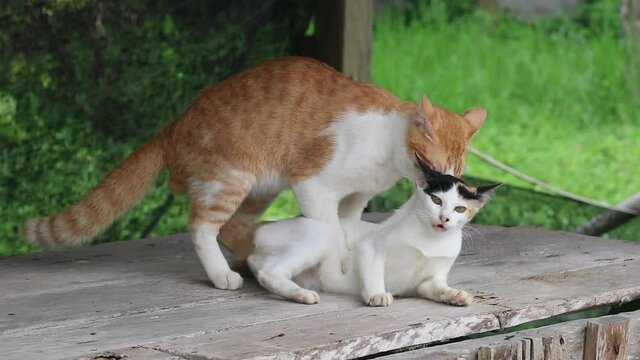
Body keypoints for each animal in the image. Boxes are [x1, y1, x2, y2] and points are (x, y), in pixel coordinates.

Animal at [22, 57, 488, 292]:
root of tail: (175, 123)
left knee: (234, 229)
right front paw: (341, 265)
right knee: (202, 227)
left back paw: (246, 257)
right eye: (431, 168)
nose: (437, 187)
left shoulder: (354, 200)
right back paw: (223, 273)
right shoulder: (313, 184)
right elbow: (331, 231)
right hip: (231, 179)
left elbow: (348, 226)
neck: (388, 151)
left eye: (454, 174)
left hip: (260, 189)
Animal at [248, 158, 498, 306]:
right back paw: (301, 294)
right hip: (322, 234)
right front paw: (377, 294)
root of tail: (263, 227)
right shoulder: (369, 247)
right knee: (268, 270)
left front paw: (454, 295)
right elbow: (373, 270)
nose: (444, 218)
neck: (432, 240)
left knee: (256, 262)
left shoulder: (429, 280)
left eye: (459, 209)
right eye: (436, 200)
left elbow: (435, 288)